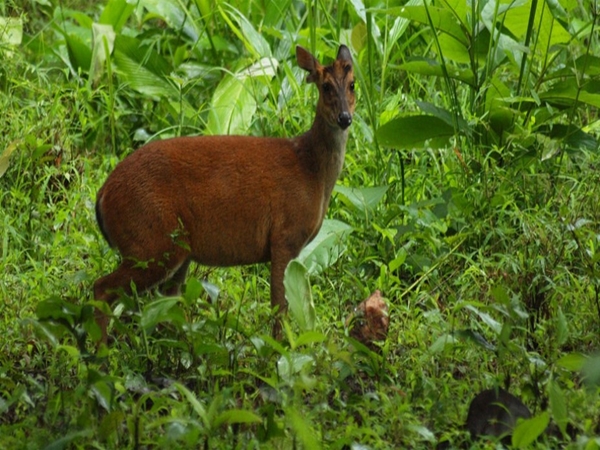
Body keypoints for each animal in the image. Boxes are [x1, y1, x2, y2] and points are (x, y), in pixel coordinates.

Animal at [94, 44, 356, 342]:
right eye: (326, 86)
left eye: (352, 84)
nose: (345, 118)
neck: (312, 171)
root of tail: (103, 195)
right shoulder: (284, 236)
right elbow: (279, 306)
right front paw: (279, 348)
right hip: (151, 243)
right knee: (102, 288)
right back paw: (100, 350)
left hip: (173, 249)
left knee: (164, 303)